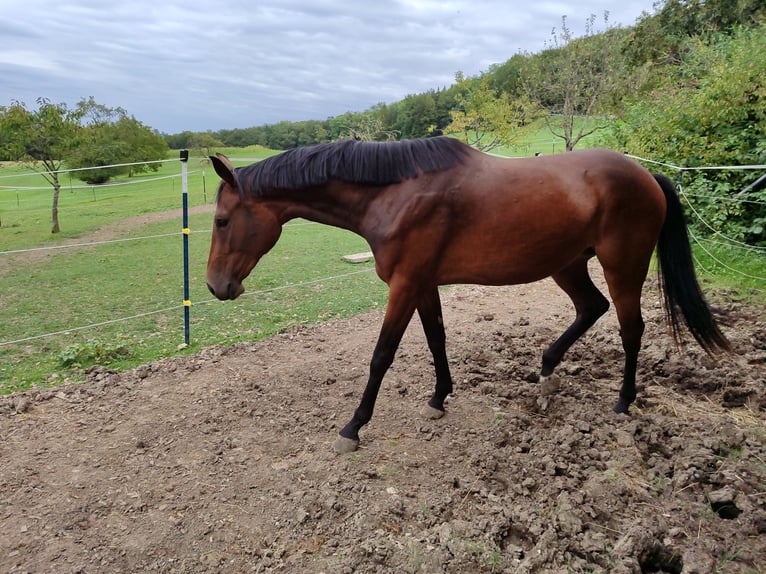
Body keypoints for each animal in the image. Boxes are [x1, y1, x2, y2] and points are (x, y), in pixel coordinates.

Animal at [207, 138, 736, 454]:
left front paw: (353, 427)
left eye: (222, 221)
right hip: (566, 264)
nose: (215, 286)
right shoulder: (422, 283)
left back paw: (624, 402)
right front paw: (439, 397)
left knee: (630, 328)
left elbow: (381, 356)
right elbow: (436, 339)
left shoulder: (405, 283)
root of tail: (648, 176)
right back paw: (546, 370)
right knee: (592, 308)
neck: (394, 193)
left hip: (622, 266)